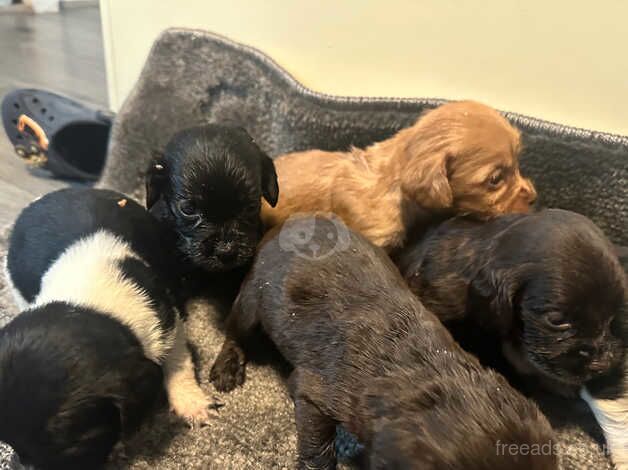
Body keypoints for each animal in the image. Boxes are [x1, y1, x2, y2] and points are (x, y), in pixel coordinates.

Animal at [1, 188, 213, 470]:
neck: (90, 303)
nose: (17, 464)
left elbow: (179, 362)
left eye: (74, 448)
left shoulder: (167, 320)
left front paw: (190, 402)